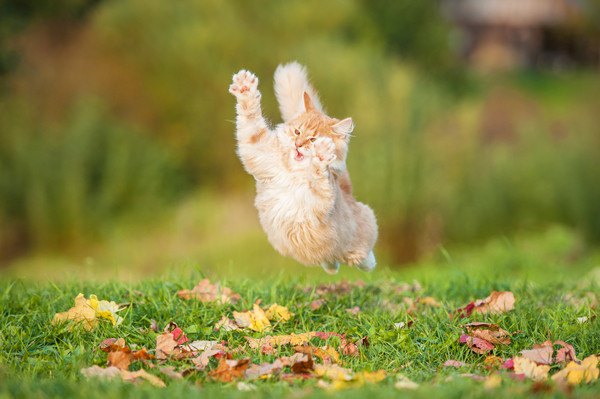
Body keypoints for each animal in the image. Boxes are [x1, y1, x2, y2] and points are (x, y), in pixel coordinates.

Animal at [227, 62, 378, 276]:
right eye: (297, 132)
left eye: (313, 139)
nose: (297, 145)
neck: (293, 172)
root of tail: (348, 193)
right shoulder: (257, 148)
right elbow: (250, 120)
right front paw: (245, 88)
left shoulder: (319, 201)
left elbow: (319, 177)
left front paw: (321, 155)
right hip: (331, 255)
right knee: (331, 262)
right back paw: (332, 267)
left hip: (360, 235)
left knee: (363, 256)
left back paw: (368, 263)